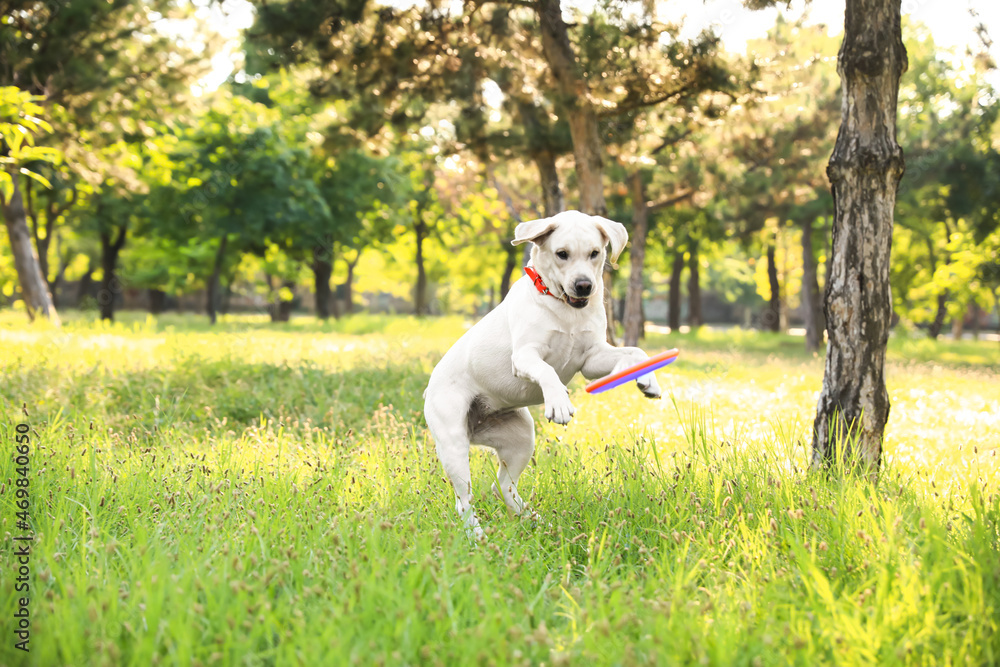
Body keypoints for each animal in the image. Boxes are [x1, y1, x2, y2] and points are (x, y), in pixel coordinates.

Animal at [424, 210, 664, 536]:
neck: (566, 310)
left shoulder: (592, 357)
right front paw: (559, 403)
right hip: (454, 445)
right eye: (562, 254)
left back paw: (534, 521)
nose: (584, 285)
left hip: (521, 438)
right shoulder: (526, 355)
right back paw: (477, 536)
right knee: (464, 501)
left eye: (595, 253)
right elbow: (548, 370)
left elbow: (636, 352)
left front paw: (647, 380)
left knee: (504, 486)